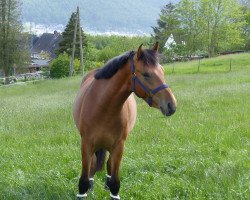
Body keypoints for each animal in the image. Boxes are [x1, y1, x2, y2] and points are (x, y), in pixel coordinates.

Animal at [73, 43, 177, 199]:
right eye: (146, 74)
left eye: (162, 71)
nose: (171, 105)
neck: (102, 107)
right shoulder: (86, 144)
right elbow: (84, 181)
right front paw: (87, 187)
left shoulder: (118, 146)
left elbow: (115, 183)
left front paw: (110, 187)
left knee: (109, 164)